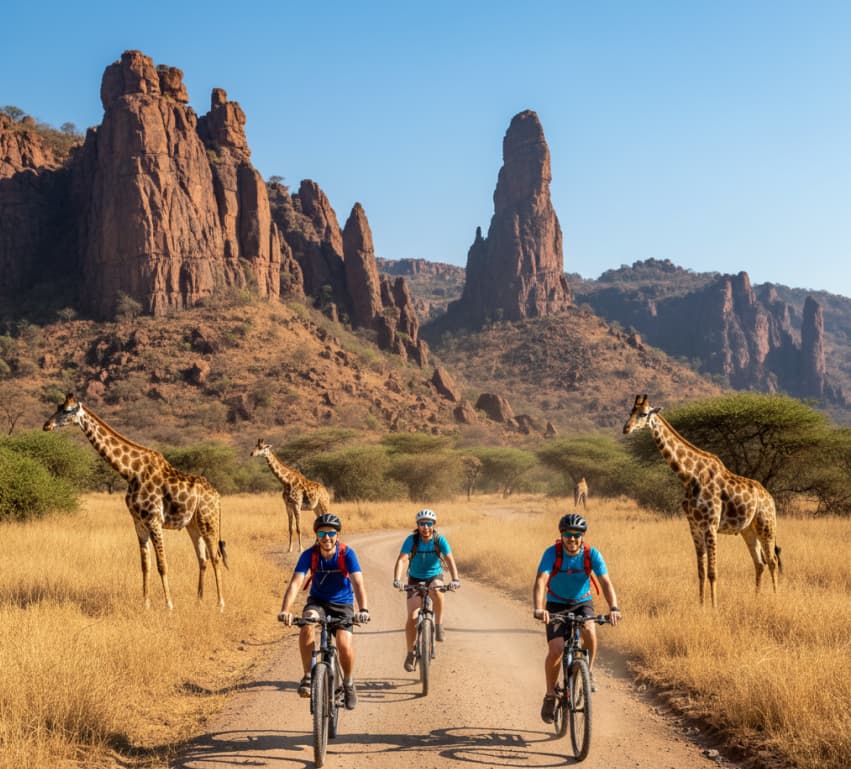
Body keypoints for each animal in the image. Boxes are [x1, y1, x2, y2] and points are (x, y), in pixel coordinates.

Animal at [43, 393, 228, 610]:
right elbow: (145, 565)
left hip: (209, 521)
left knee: (215, 557)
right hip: (193, 524)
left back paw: (220, 604)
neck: (130, 472)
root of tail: (217, 496)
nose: (46, 425)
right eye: (58, 406)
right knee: (202, 558)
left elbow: (162, 565)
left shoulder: (154, 520)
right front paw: (146, 604)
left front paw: (169, 605)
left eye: (66, 410)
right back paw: (199, 601)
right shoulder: (138, 522)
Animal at [622, 394, 781, 608]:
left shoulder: (711, 525)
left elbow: (713, 572)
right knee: (759, 563)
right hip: (748, 529)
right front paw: (702, 605)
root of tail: (769, 497)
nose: (626, 428)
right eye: (630, 411)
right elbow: (701, 571)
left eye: (644, 413)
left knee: (772, 561)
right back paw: (757, 598)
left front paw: (714, 607)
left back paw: (775, 597)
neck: (689, 476)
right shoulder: (694, 526)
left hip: (766, 525)